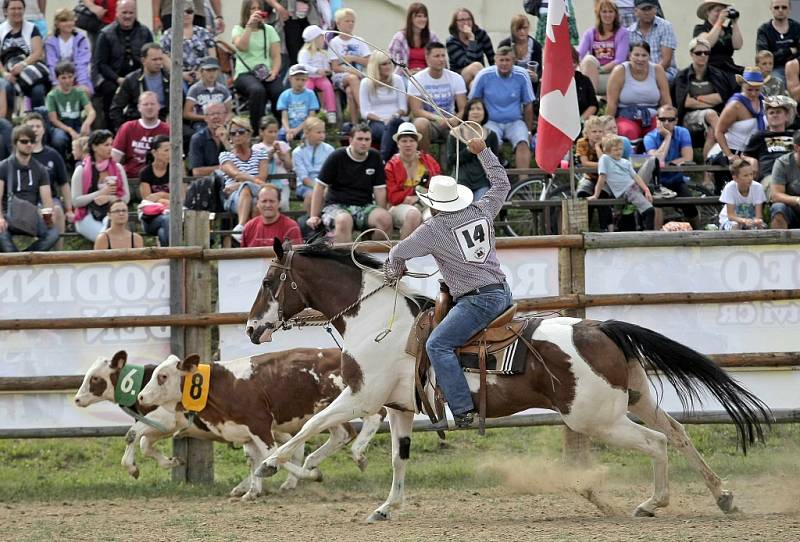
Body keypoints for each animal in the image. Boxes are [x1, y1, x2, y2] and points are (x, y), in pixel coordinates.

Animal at [138, 348, 384, 502]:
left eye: (162, 376)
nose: (140, 397)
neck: (226, 385)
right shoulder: (244, 432)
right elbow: (253, 459)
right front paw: (252, 492)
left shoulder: (260, 426)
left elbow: (270, 456)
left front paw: (312, 476)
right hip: (324, 410)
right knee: (341, 433)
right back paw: (312, 463)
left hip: (353, 398)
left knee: (375, 416)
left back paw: (357, 454)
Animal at [245, 243, 768, 524]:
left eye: (270, 281)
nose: (251, 328)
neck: (378, 320)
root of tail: (600, 327)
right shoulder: (399, 408)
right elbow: (398, 459)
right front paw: (386, 508)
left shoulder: (360, 396)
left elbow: (308, 426)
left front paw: (270, 468)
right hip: (635, 400)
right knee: (677, 434)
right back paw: (722, 496)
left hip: (597, 419)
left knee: (657, 442)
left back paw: (651, 503)